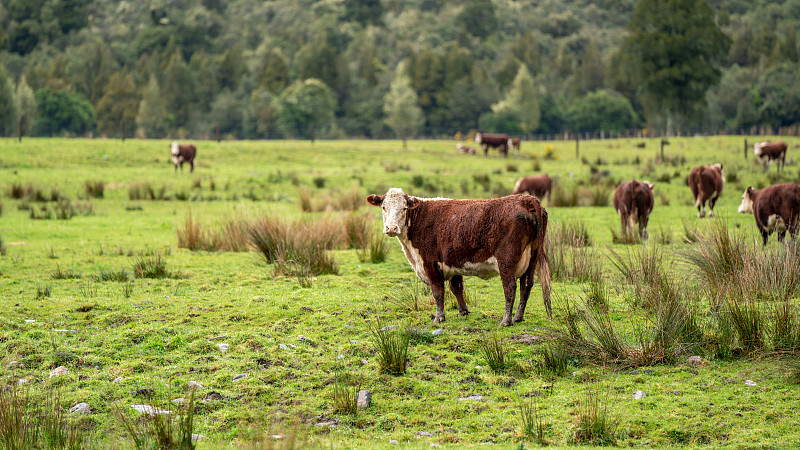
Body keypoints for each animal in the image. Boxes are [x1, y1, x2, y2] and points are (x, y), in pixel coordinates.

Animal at [368, 188, 552, 326]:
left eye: (404, 208)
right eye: (383, 207)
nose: (391, 228)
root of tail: (527, 199)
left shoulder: (430, 263)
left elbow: (437, 291)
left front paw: (439, 318)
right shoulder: (452, 262)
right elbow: (456, 288)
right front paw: (463, 312)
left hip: (507, 260)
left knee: (510, 287)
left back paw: (506, 320)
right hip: (532, 258)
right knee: (526, 285)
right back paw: (518, 317)